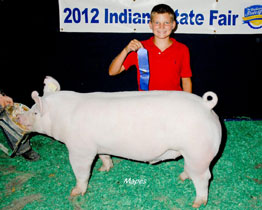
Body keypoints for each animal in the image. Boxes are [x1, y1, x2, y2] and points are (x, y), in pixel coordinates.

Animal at [17, 76, 221, 208]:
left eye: (35, 112)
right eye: (32, 108)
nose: (19, 116)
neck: (64, 116)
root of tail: (206, 105)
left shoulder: (80, 149)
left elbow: (81, 171)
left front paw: (74, 192)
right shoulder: (99, 146)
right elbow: (104, 156)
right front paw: (104, 169)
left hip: (198, 151)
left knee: (204, 177)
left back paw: (196, 203)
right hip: (193, 154)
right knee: (192, 170)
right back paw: (182, 177)